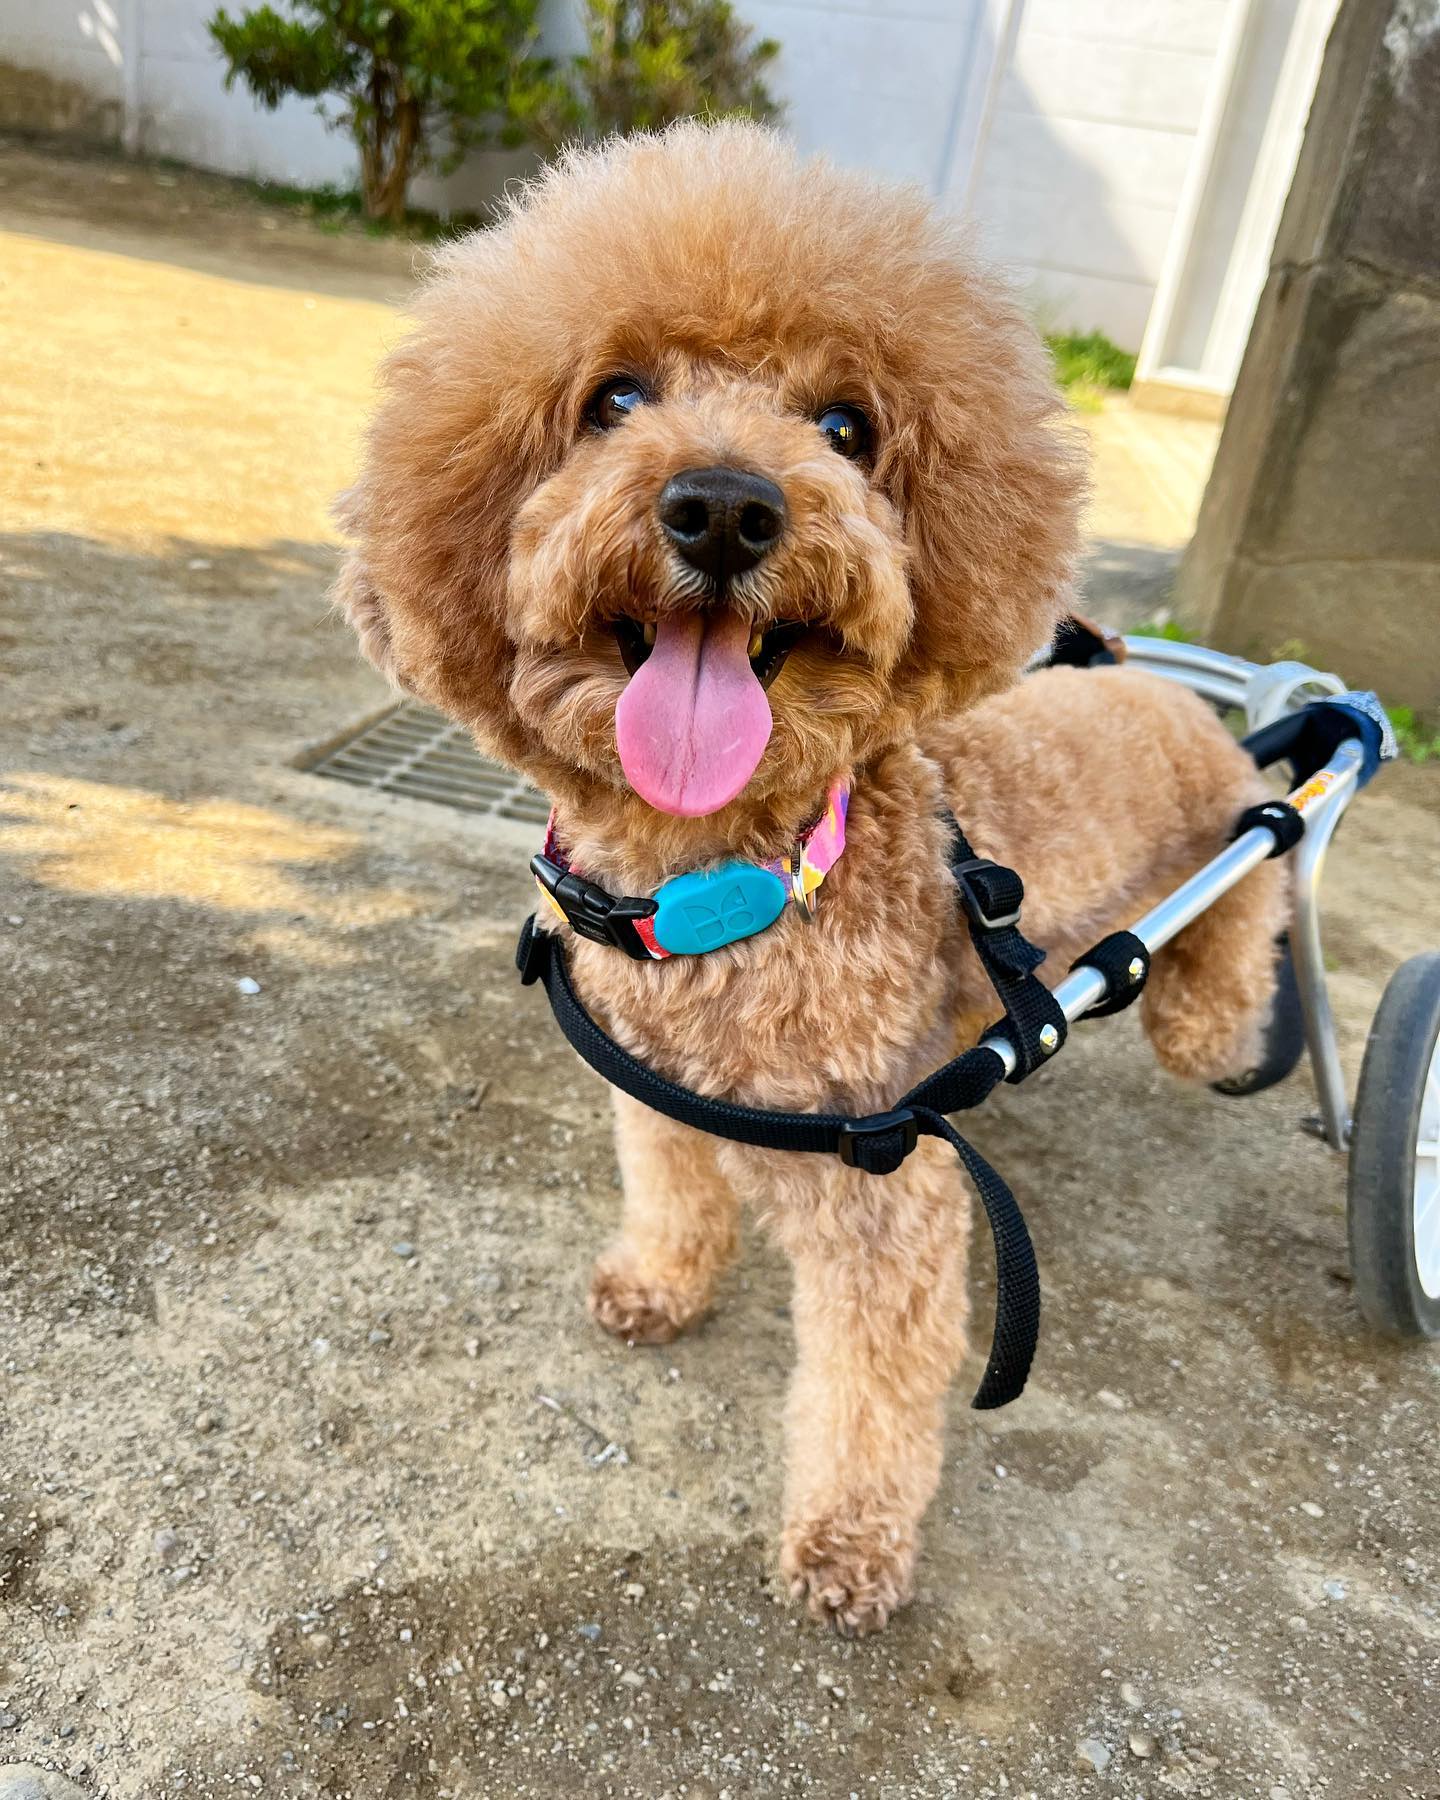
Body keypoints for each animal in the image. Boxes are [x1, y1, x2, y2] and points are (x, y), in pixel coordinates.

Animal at [336, 123, 1286, 1634]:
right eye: (610, 399)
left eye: (846, 427)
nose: (725, 503)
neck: (732, 885)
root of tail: (1178, 696)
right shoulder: (654, 1101)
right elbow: (673, 1197)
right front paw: (659, 1288)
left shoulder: (884, 1201)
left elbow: (871, 1392)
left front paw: (847, 1546)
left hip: (1229, 877)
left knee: (1245, 937)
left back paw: (1232, 1010)